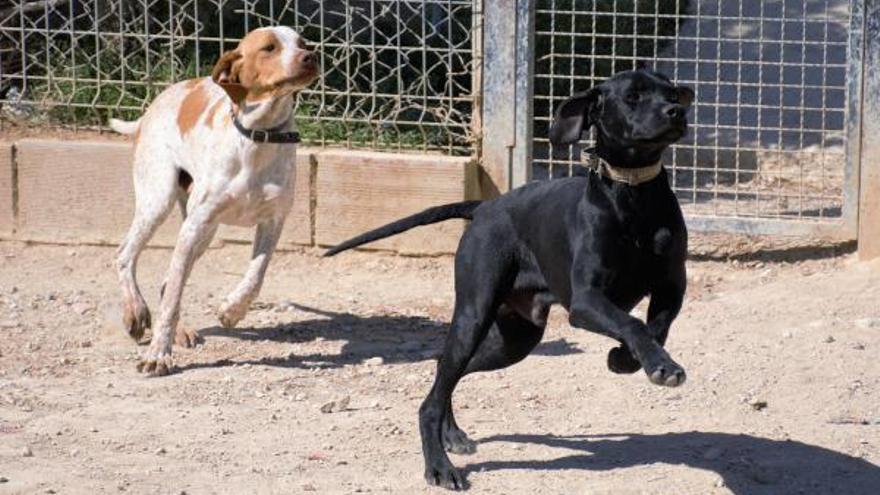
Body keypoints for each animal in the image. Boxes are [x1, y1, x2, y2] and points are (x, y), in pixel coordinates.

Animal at [109, 27, 316, 376]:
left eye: (302, 44)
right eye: (269, 48)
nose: (310, 57)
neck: (256, 139)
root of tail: (156, 104)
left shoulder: (273, 220)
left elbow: (255, 276)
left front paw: (232, 309)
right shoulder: (195, 225)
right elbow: (172, 300)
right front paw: (158, 354)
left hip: (206, 231)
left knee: (167, 281)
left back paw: (180, 331)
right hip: (160, 201)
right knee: (126, 256)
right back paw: (135, 311)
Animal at [324, 70, 696, 492]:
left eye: (671, 93)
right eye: (633, 96)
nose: (676, 111)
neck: (633, 194)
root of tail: (484, 207)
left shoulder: (671, 287)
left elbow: (655, 327)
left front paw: (629, 359)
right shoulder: (586, 301)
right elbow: (633, 323)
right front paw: (652, 362)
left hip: (515, 341)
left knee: (445, 373)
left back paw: (452, 434)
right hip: (474, 315)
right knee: (432, 397)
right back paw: (439, 466)